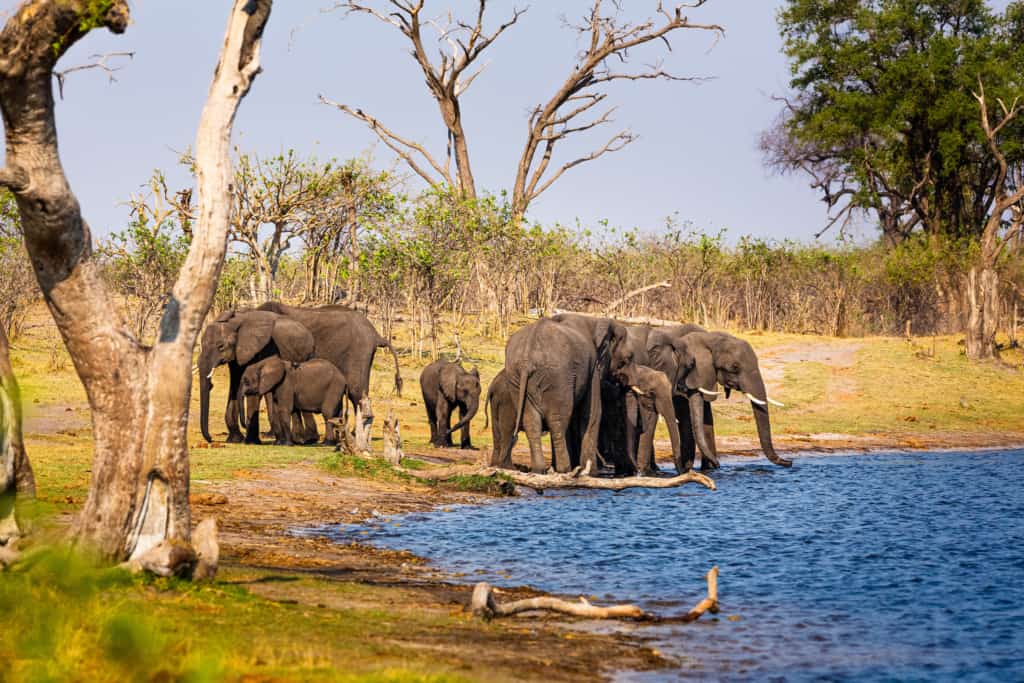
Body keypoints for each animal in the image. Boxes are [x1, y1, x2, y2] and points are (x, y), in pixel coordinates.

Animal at [197, 311, 313, 448]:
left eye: (220, 346)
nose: (210, 439)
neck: (236, 322)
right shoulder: (237, 355)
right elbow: (235, 383)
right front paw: (235, 440)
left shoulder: (264, 349)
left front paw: (251, 442)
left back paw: (299, 440)